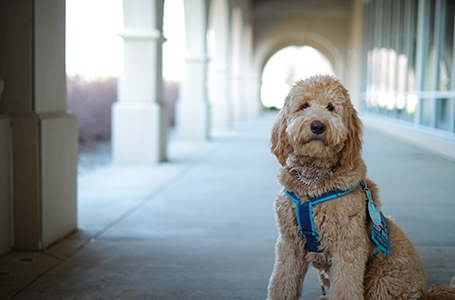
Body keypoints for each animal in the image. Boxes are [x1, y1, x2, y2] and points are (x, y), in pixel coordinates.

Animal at [268, 75, 455, 300]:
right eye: (304, 105)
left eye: (331, 107)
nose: (318, 126)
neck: (312, 182)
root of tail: (427, 293)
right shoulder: (289, 244)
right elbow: (282, 284)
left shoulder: (348, 246)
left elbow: (345, 289)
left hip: (382, 281)